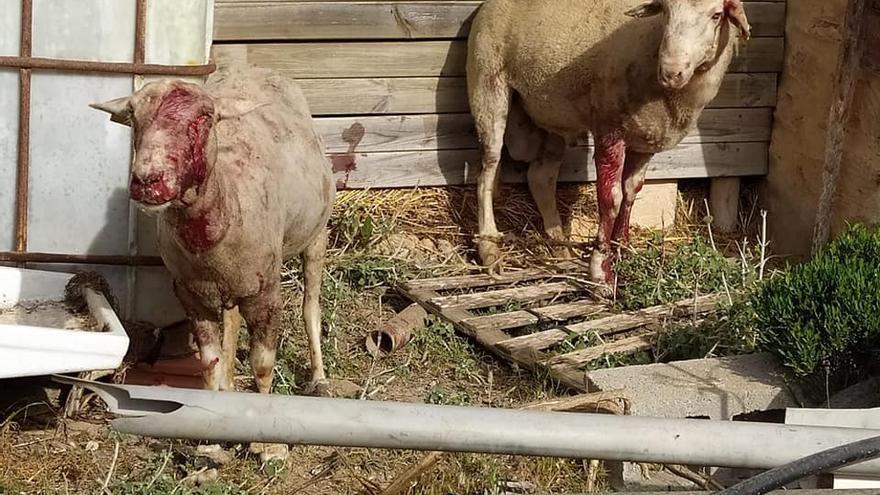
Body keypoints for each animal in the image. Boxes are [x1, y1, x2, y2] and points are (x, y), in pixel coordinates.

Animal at [92, 67, 334, 400]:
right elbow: (211, 364)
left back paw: (319, 379)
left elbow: (262, 368)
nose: (147, 180)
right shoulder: (191, 296)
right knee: (232, 324)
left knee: (311, 306)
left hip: (317, 234)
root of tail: (260, 69)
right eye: (133, 114)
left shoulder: (267, 296)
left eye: (205, 115)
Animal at [468, 0, 748, 290]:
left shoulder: (644, 139)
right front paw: (600, 270)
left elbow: (632, 191)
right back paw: (489, 248)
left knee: (540, 177)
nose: (671, 72)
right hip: (487, 83)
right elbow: (611, 198)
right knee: (487, 171)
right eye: (666, 11)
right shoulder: (608, 129)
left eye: (716, 15)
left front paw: (621, 248)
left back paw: (559, 244)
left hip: (552, 111)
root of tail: (485, 6)